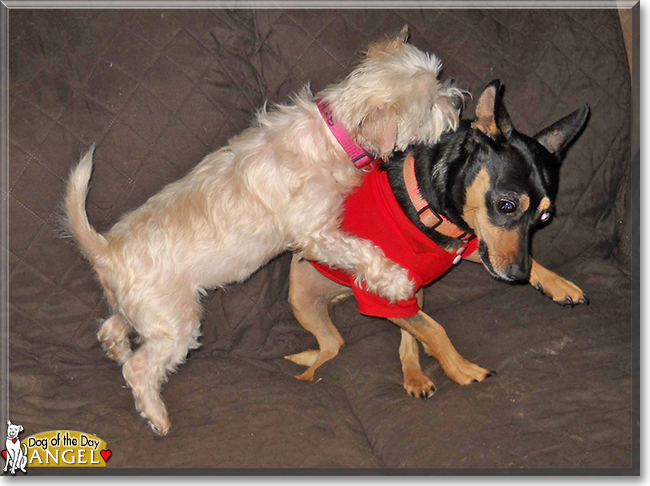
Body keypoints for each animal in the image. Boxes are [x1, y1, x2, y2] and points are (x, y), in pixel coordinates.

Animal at [64, 27, 460, 436]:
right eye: (431, 106)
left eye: (439, 80)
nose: (458, 104)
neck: (334, 133)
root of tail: (107, 250)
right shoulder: (317, 233)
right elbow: (364, 252)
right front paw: (397, 282)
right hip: (175, 325)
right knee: (138, 369)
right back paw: (156, 415)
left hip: (142, 312)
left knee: (111, 329)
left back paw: (119, 351)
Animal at [286, 79, 588, 398]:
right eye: (506, 205)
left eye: (544, 218)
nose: (518, 275)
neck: (437, 212)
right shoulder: (385, 296)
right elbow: (434, 330)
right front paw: (463, 370)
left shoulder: (472, 247)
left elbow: (421, 331)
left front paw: (557, 284)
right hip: (303, 298)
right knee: (331, 350)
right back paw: (308, 375)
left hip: (415, 290)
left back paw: (415, 376)